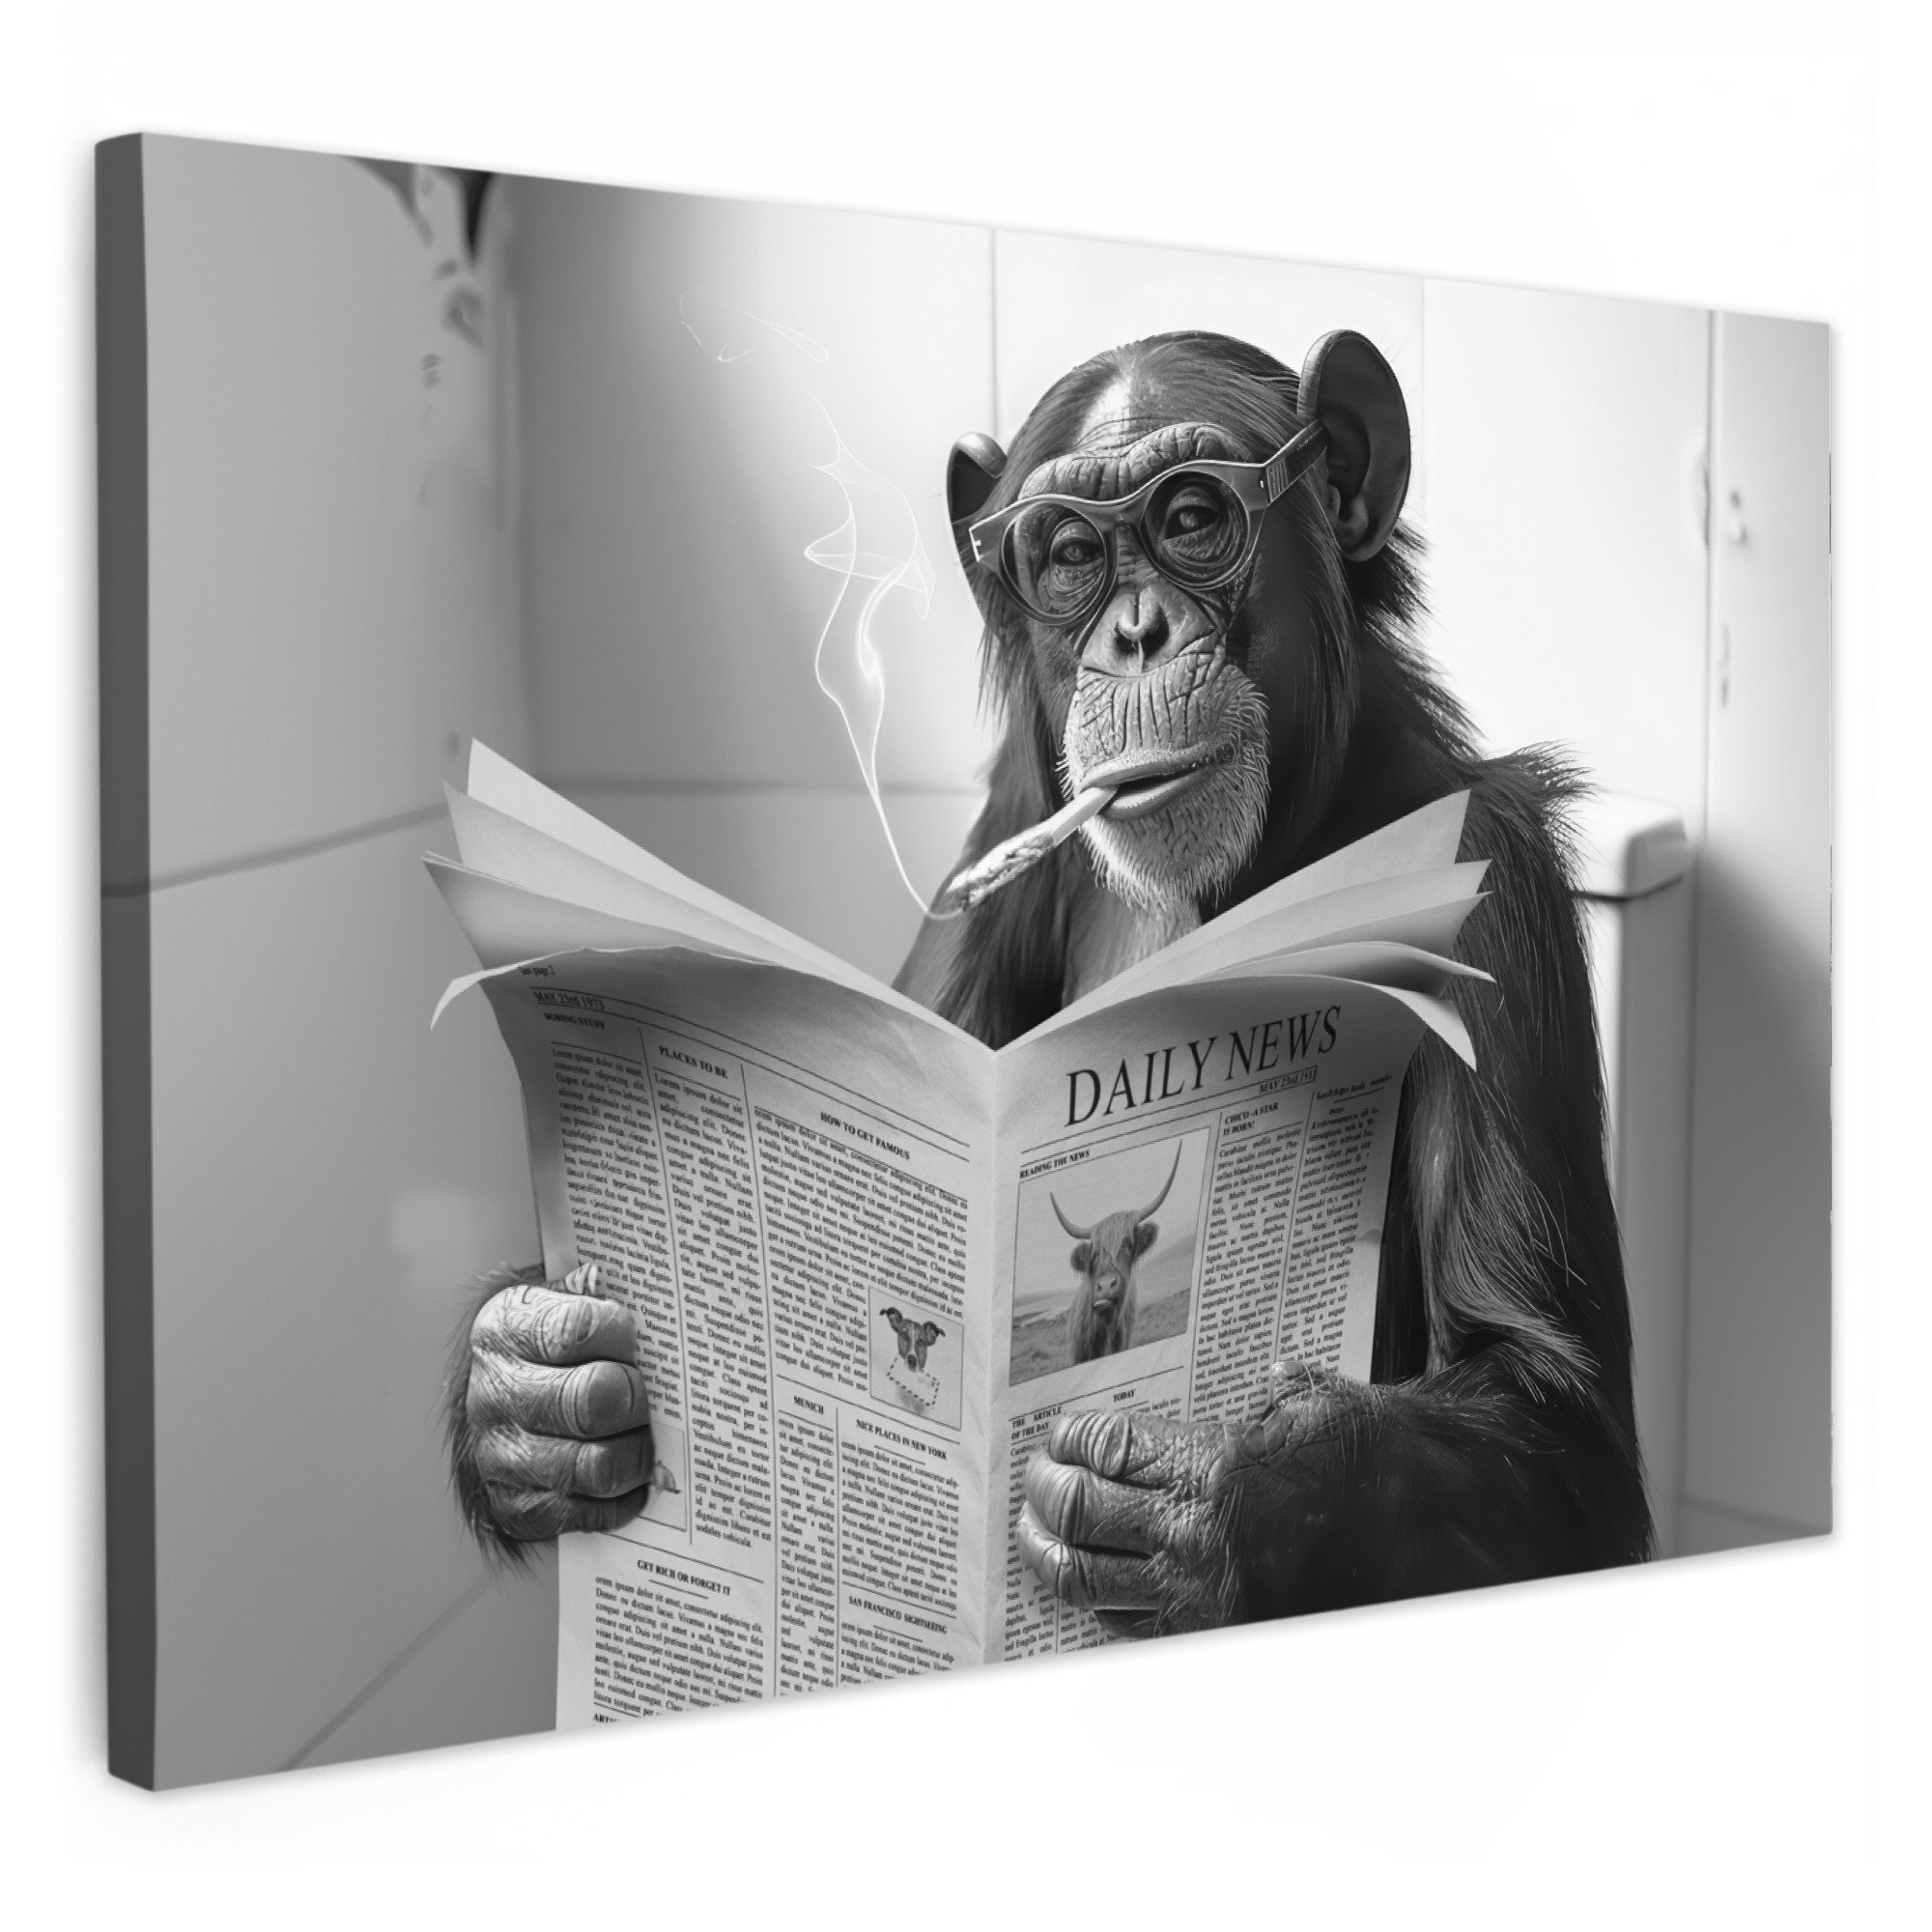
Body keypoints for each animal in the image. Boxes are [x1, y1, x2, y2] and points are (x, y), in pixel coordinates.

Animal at [446, 327, 1650, 1640]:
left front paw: (1199, 1496)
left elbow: (1554, 1427)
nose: (1134, 633)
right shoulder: (999, 833)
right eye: (1067, 554)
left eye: (1192, 516)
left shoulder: (1495, 882)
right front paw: (534, 1387)